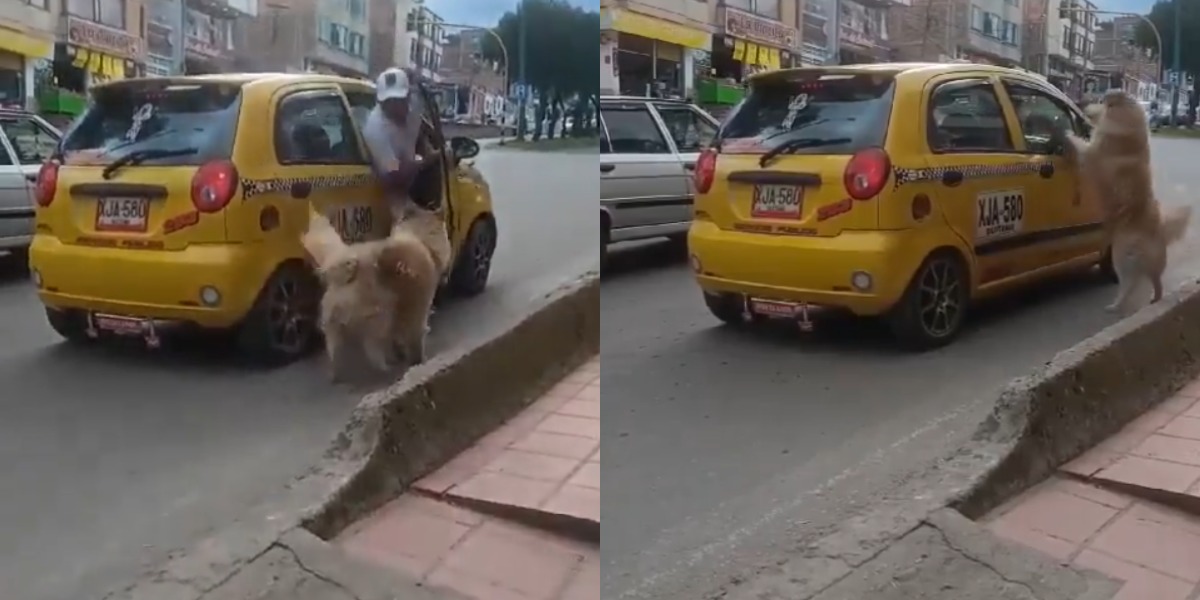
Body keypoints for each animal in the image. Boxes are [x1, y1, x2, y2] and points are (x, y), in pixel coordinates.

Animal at [302, 210, 444, 379]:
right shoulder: (415, 307)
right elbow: (414, 335)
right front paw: (417, 359)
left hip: (336, 324)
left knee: (335, 350)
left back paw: (339, 374)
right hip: (377, 318)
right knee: (373, 348)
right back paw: (384, 369)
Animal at [1070, 91, 1190, 314]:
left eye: (1100, 101)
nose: (1081, 103)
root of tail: (1161, 229)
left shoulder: (1093, 155)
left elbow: (1079, 143)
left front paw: (1062, 133)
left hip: (1120, 254)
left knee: (1140, 284)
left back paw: (1120, 305)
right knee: (1144, 282)